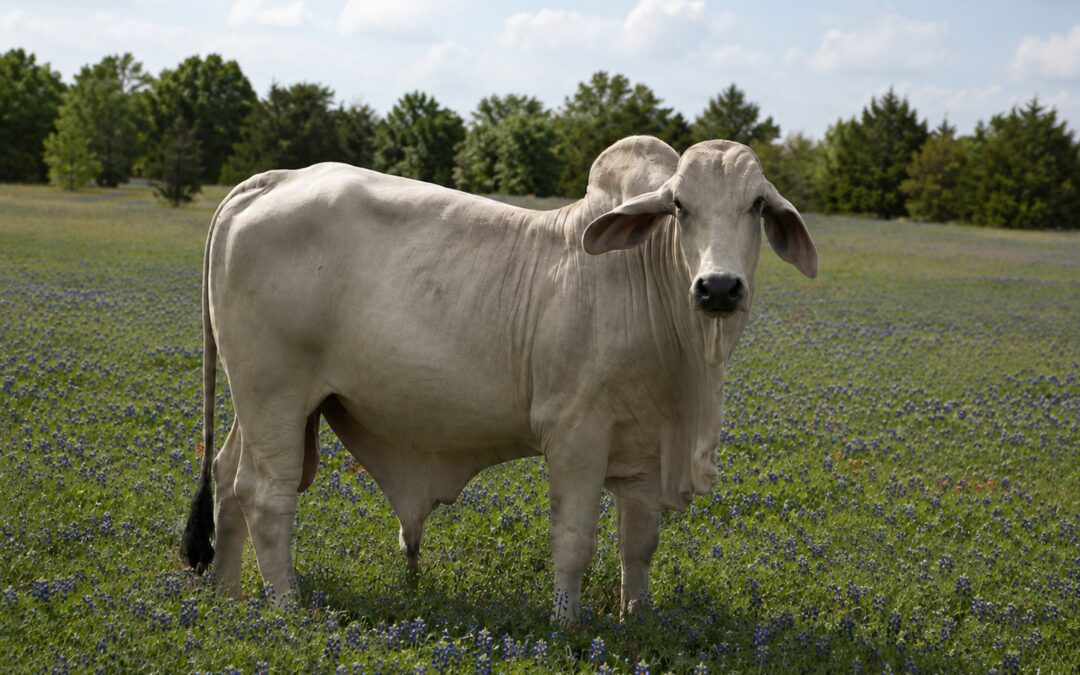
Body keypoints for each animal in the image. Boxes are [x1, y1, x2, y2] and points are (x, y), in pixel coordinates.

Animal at [180, 136, 817, 624]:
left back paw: (229, 597)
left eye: (757, 204)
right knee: (266, 494)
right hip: (275, 394)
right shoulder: (576, 433)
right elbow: (574, 540)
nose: (718, 287)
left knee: (228, 479)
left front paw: (636, 618)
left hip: (260, 402)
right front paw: (565, 624)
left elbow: (638, 546)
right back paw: (286, 607)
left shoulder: (644, 449)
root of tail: (270, 180)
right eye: (680, 205)